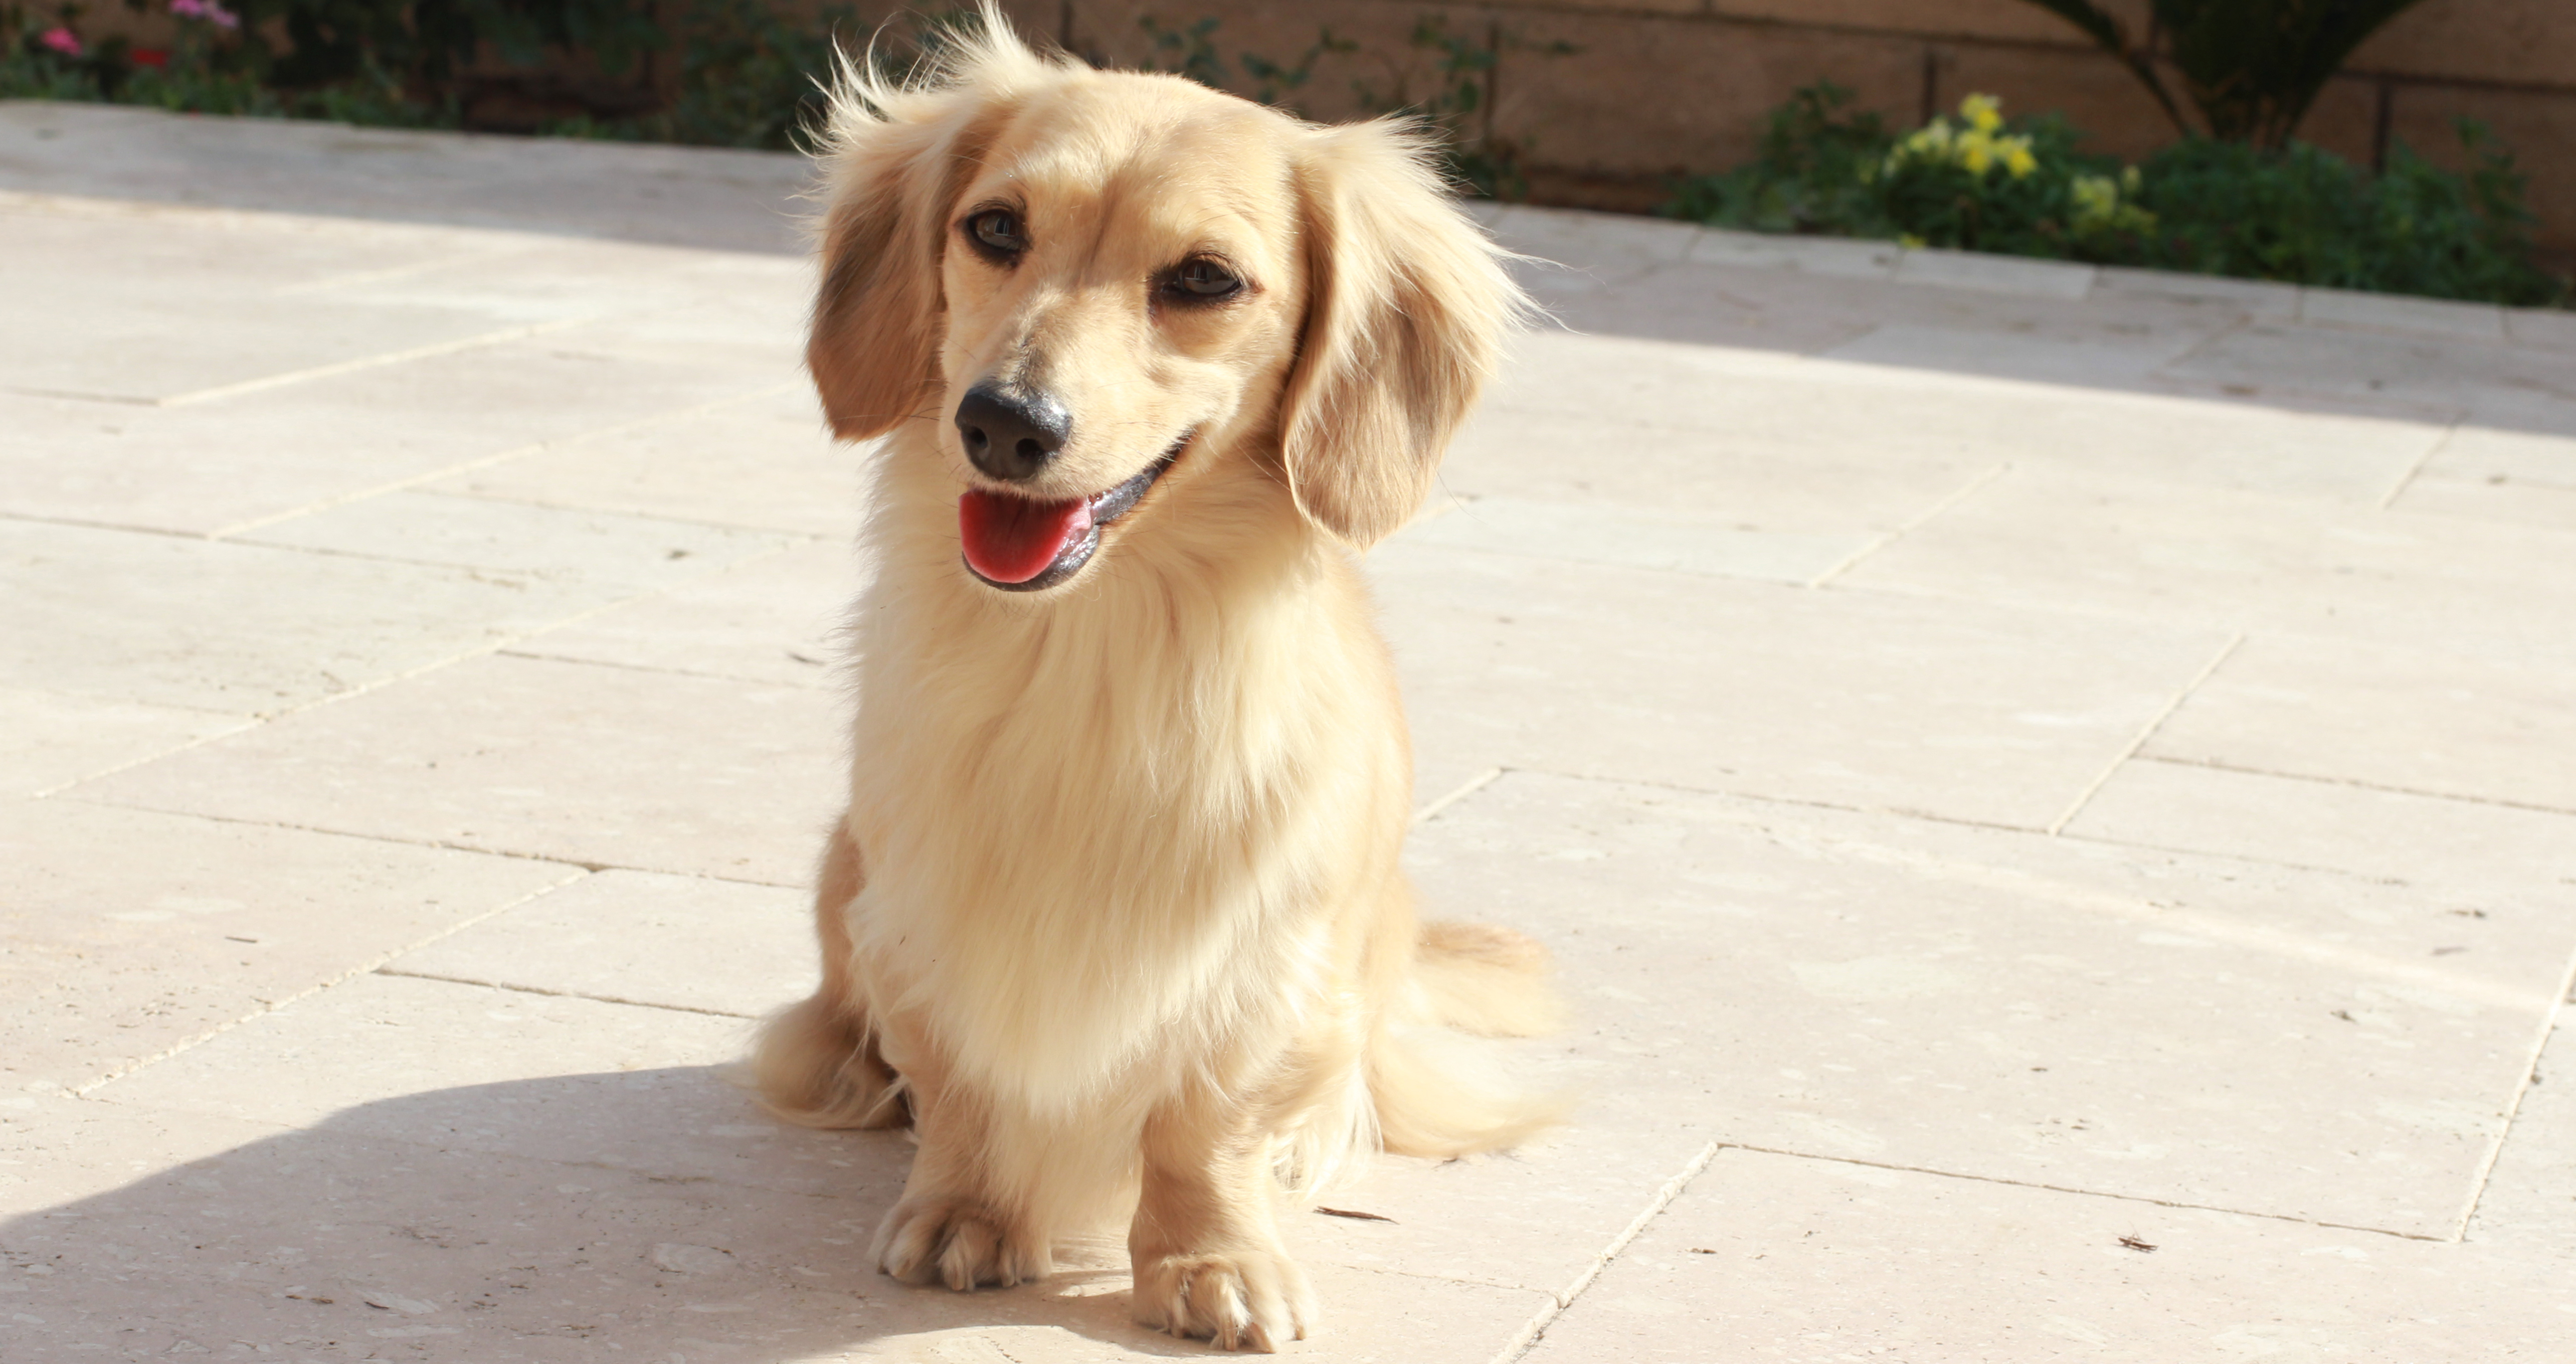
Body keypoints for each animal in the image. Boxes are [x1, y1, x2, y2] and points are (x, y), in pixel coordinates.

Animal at [747, 10, 1545, 1349]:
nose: (1004, 423)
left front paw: (1211, 1256)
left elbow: (1207, 1121)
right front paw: (968, 1204)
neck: (1090, 645)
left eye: (1206, 280)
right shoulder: (919, 917)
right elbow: (959, 1076)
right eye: (996, 228)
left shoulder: (1262, 956)